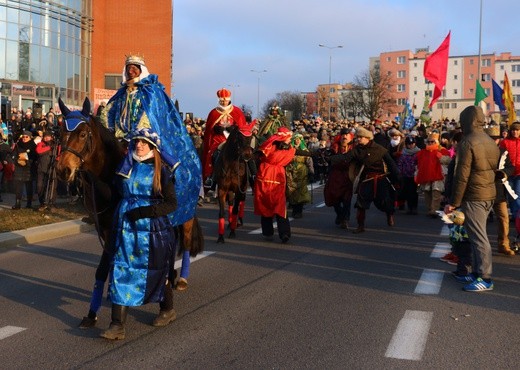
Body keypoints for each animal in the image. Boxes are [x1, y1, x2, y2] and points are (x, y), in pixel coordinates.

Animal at [56, 97, 203, 326]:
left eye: (82, 134)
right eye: (61, 131)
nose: (63, 170)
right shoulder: (105, 230)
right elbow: (102, 270)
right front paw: (92, 314)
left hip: (186, 215)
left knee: (186, 241)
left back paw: (181, 280)